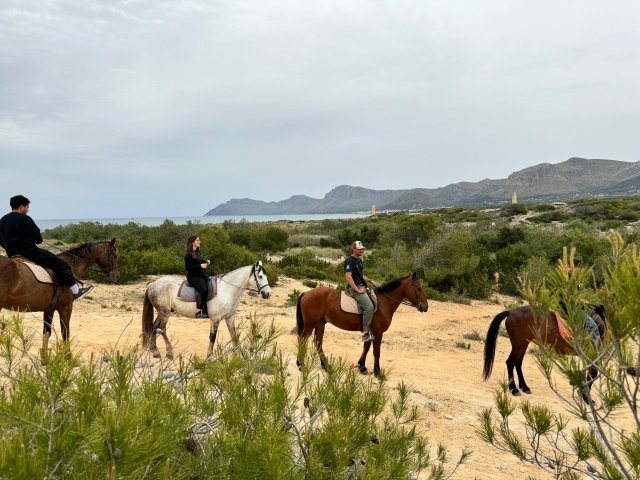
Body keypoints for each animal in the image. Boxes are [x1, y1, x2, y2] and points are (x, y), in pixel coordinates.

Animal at [141, 260, 271, 359]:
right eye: (260, 277)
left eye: (266, 276)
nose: (268, 294)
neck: (228, 290)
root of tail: (152, 284)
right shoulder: (215, 319)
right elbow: (212, 337)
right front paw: (209, 356)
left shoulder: (230, 317)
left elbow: (233, 335)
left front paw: (238, 355)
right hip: (165, 313)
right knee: (162, 329)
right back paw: (169, 352)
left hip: (162, 312)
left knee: (154, 327)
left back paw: (155, 351)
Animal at [295, 272, 429, 377]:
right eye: (418, 288)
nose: (426, 307)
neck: (383, 303)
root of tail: (306, 293)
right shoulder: (378, 333)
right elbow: (376, 352)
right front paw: (377, 372)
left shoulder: (369, 331)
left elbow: (366, 348)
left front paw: (362, 366)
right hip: (310, 325)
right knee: (303, 340)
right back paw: (301, 363)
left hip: (320, 323)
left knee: (318, 343)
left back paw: (326, 366)